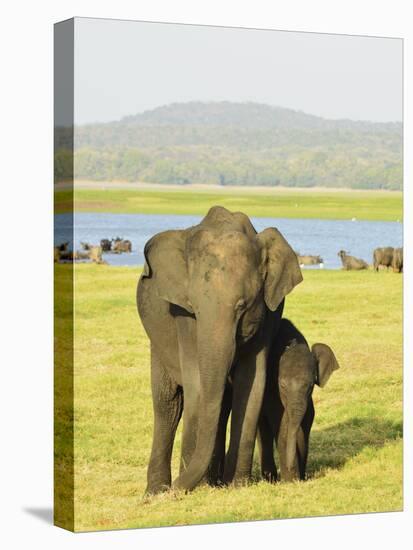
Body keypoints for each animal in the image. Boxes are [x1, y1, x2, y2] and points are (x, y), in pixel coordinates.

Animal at [258, 322, 338, 486]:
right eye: (281, 385)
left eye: (310, 385)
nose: (291, 468)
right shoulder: (271, 390)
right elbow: (282, 423)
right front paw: (290, 481)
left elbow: (305, 422)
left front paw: (298, 478)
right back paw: (270, 479)